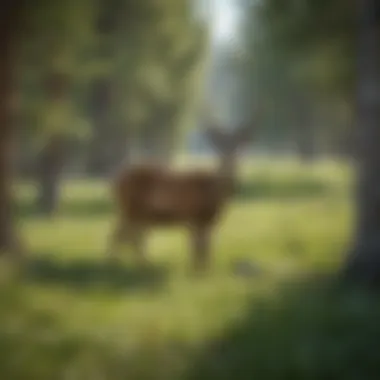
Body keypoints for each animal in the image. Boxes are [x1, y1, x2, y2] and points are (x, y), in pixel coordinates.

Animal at [105, 115, 256, 270]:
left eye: (238, 144)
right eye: (220, 145)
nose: (230, 155)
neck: (215, 191)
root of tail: (115, 179)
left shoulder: (206, 221)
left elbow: (204, 248)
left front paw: (203, 270)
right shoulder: (194, 216)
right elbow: (198, 248)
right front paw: (197, 271)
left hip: (134, 211)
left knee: (126, 235)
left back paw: (129, 262)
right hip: (132, 208)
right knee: (124, 235)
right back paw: (122, 263)